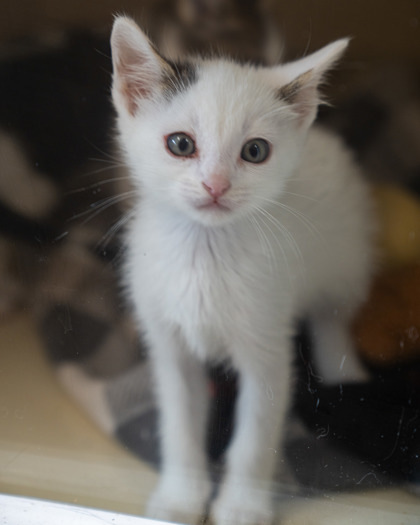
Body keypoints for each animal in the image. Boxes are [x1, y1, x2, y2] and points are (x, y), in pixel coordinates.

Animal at [110, 16, 376, 524]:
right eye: (180, 144)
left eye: (255, 151)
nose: (216, 185)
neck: (205, 251)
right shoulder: (169, 343)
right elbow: (180, 422)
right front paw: (180, 498)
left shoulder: (268, 346)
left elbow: (254, 436)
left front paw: (241, 506)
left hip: (347, 255)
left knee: (333, 315)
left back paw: (343, 371)